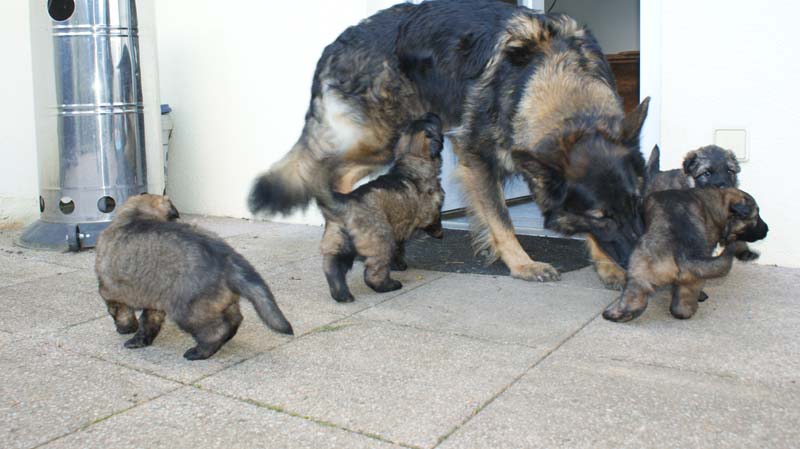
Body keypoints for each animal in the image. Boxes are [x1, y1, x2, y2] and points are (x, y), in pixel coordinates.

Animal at [95, 194, 293, 360]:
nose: (122, 332)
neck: (137, 215)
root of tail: (227, 260)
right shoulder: (155, 301)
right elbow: (149, 322)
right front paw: (139, 340)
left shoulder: (111, 293)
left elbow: (122, 313)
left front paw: (126, 329)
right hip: (221, 301)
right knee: (234, 320)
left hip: (186, 310)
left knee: (216, 330)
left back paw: (199, 352)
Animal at [319, 114, 445, 302]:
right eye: (432, 123)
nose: (434, 114)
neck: (412, 158)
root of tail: (343, 203)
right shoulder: (430, 209)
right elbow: (435, 218)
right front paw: (439, 232)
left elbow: (400, 248)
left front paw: (399, 264)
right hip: (381, 240)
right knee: (372, 274)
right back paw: (389, 285)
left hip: (337, 242)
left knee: (332, 267)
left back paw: (342, 294)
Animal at [602, 188, 768, 322]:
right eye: (756, 216)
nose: (767, 229)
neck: (717, 201)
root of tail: (683, 250)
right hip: (685, 277)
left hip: (641, 272)